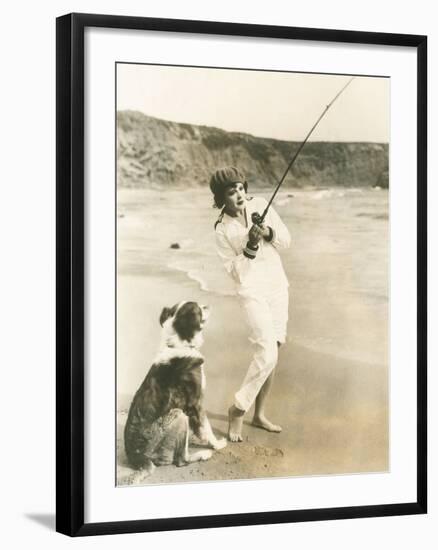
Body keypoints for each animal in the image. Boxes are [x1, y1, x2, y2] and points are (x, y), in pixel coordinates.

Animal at [123, 302, 226, 478]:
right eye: (199, 308)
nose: (208, 305)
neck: (179, 343)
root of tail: (137, 457)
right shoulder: (196, 402)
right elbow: (207, 427)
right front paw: (218, 444)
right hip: (179, 415)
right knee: (181, 460)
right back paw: (203, 454)